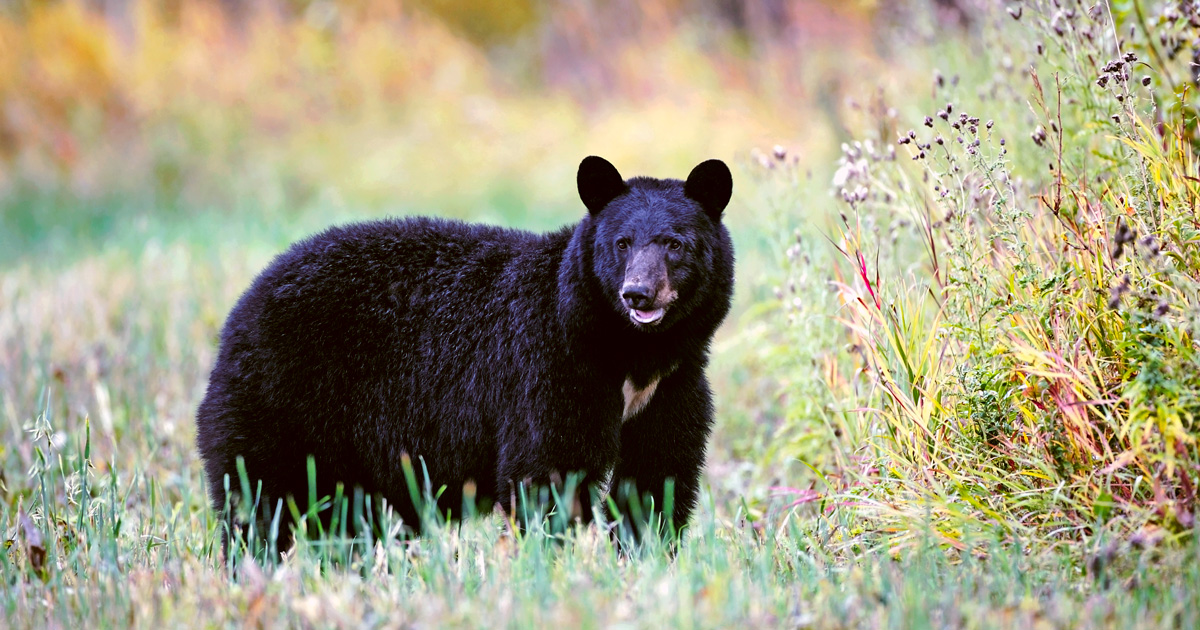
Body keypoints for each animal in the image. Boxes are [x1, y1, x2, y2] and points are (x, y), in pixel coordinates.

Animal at [195, 156, 734, 551]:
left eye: (675, 244)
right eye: (621, 244)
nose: (637, 294)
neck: (630, 355)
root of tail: (241, 309)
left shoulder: (674, 386)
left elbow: (656, 481)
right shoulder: (547, 371)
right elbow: (546, 471)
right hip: (281, 400)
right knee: (259, 498)